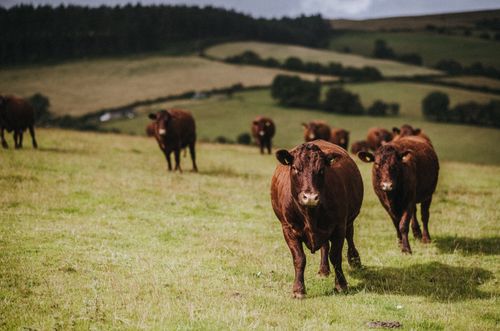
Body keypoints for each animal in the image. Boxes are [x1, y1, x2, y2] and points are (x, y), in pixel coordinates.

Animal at [270, 140, 364, 298]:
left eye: (321, 170)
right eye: (296, 168)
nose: (310, 197)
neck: (310, 214)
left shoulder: (339, 226)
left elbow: (336, 256)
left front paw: (341, 284)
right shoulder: (288, 229)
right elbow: (299, 258)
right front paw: (298, 289)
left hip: (349, 220)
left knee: (350, 236)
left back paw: (354, 259)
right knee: (325, 246)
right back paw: (323, 270)